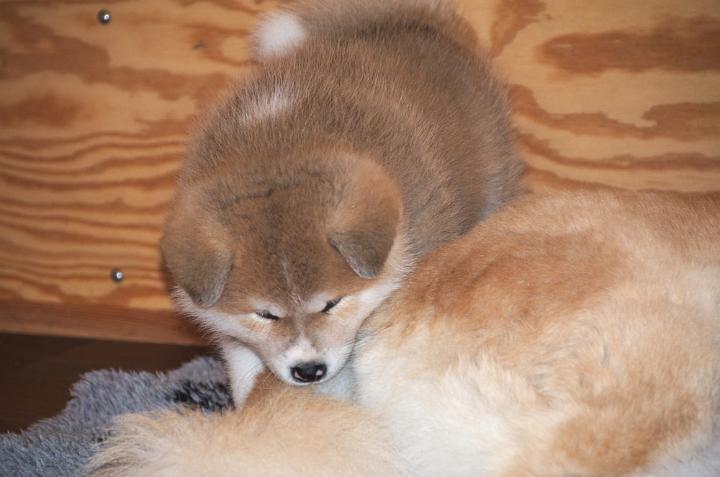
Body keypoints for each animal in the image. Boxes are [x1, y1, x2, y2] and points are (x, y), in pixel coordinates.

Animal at [161, 0, 522, 404]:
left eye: (331, 303)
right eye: (266, 314)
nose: (308, 370)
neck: (279, 146)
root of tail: (420, 22)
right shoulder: (235, 337)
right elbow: (244, 374)